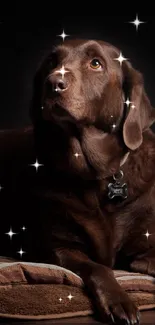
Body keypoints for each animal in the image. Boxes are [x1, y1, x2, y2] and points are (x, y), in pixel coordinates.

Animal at [1, 39, 155, 322]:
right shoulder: (60, 248)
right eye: (52, 61)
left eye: (95, 63)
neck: (95, 177)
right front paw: (119, 300)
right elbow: (97, 267)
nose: (53, 82)